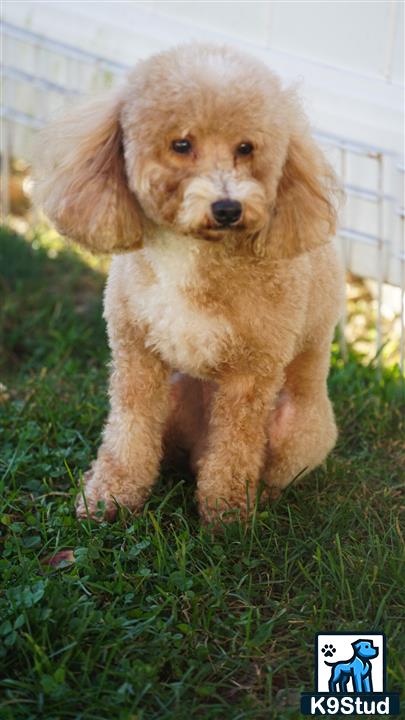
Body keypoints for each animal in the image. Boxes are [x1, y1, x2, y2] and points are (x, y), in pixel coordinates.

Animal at [35, 42, 344, 520]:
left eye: (246, 148)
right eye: (181, 144)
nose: (228, 208)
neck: (192, 252)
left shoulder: (250, 376)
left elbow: (235, 450)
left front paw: (228, 518)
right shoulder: (135, 355)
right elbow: (128, 432)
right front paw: (109, 497)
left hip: (298, 433)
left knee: (269, 469)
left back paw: (261, 499)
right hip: (176, 395)